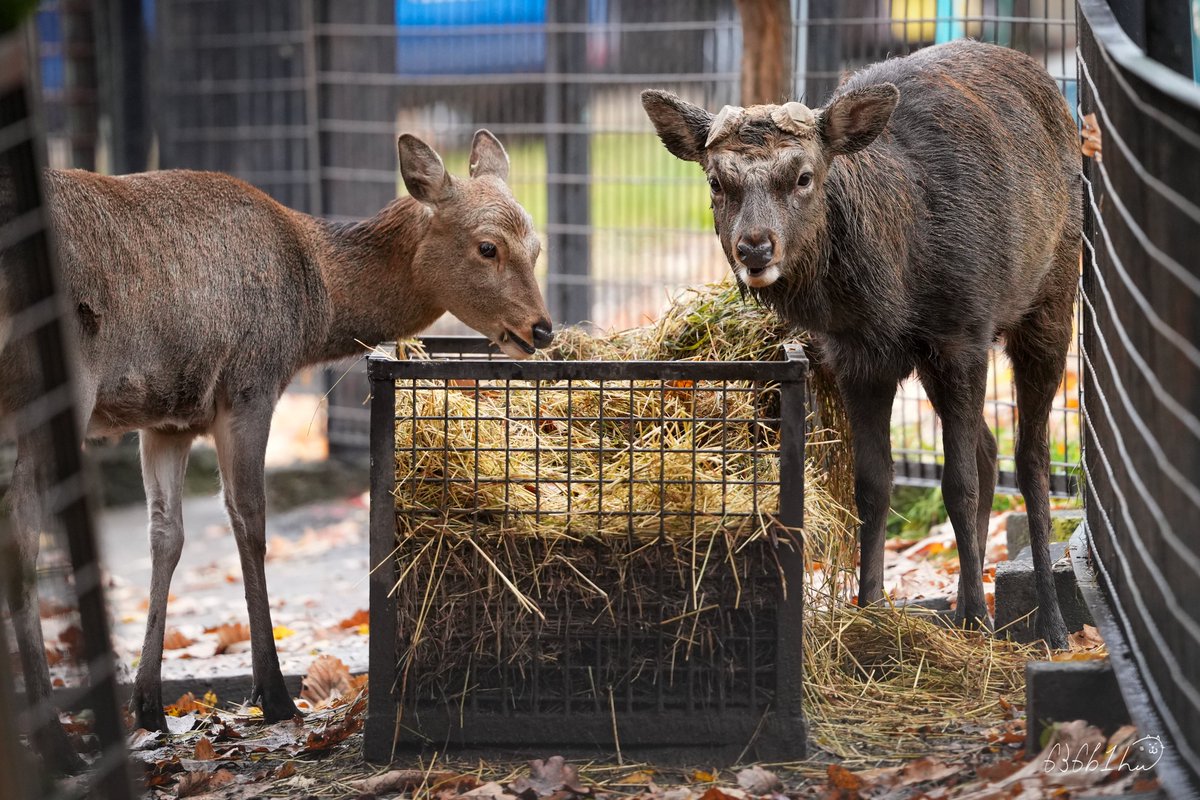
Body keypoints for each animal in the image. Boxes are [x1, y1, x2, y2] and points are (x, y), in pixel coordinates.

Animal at [0, 129, 552, 770]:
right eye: (487, 247)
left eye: (536, 246)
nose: (541, 329)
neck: (317, 309)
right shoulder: (251, 382)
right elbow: (251, 522)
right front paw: (276, 695)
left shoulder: (167, 418)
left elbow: (166, 535)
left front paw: (150, 709)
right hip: (55, 388)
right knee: (20, 532)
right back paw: (56, 745)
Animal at [642, 40, 1079, 649]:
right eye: (715, 181)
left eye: (804, 176)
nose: (754, 248)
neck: (889, 287)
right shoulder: (857, 359)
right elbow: (872, 485)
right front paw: (870, 611)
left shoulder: (963, 336)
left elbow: (959, 483)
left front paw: (975, 619)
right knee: (992, 450)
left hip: (1051, 301)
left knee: (1031, 456)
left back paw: (1049, 624)